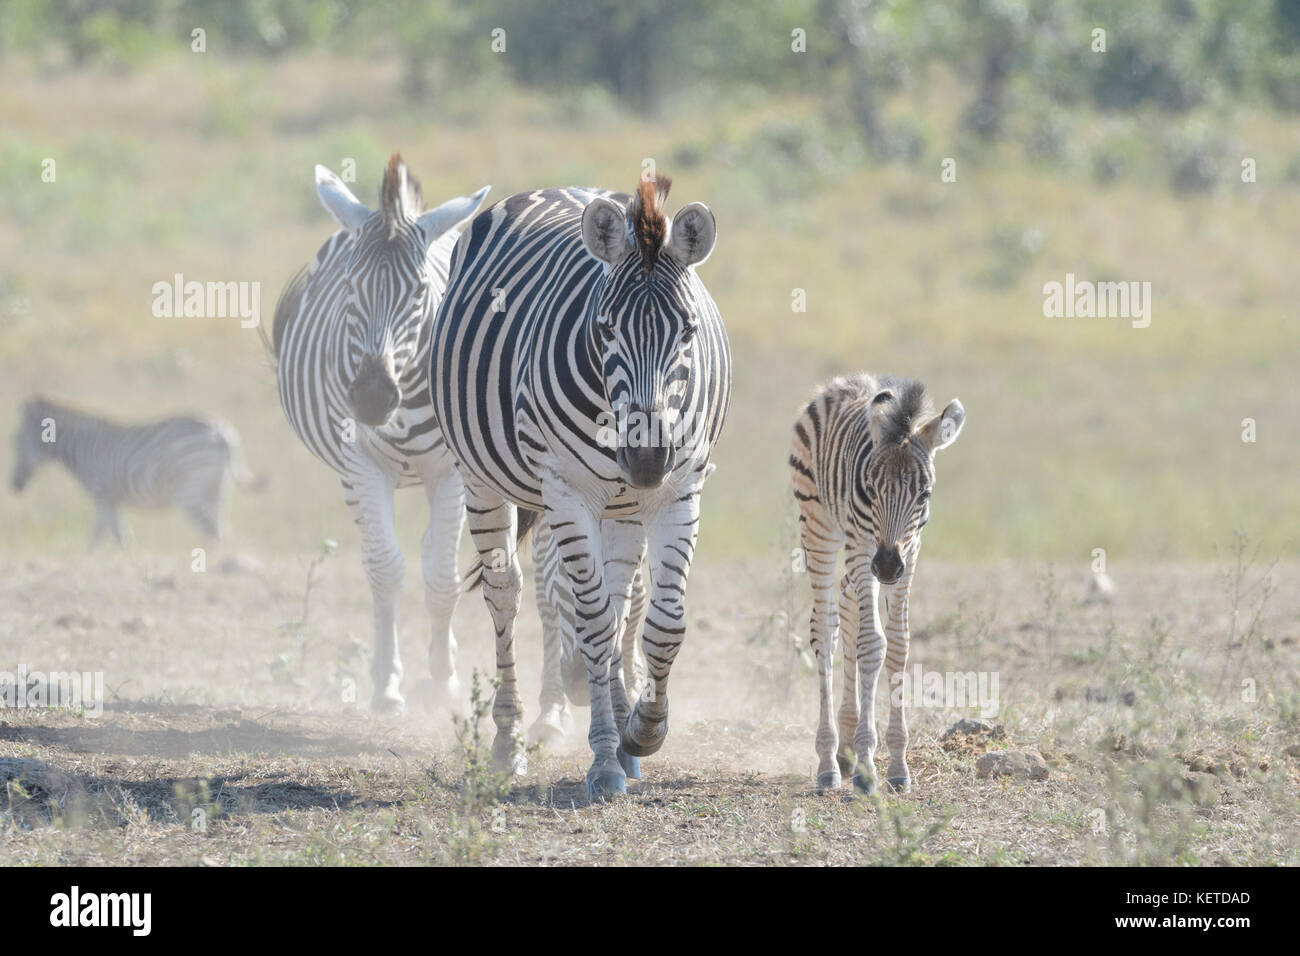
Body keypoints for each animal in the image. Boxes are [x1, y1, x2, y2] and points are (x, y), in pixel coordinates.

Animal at [9, 396, 260, 545]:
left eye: (14, 441)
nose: (14, 486)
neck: (81, 447)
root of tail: (222, 433)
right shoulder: (108, 501)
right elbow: (97, 539)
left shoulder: (103, 497)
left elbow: (119, 538)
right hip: (216, 491)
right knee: (222, 529)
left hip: (189, 492)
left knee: (212, 531)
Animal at [268, 153, 489, 715]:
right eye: (349, 286)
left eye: (420, 293)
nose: (370, 397)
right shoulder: (363, 466)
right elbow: (386, 570)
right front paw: (387, 685)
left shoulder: (452, 473)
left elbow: (442, 575)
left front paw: (444, 681)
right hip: (352, 480)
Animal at [430, 172, 730, 798]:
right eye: (606, 328)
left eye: (689, 331)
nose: (645, 457)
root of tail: (560, 187)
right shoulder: (567, 492)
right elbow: (591, 623)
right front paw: (605, 759)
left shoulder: (680, 489)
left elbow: (663, 624)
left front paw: (642, 730)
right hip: (481, 478)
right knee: (507, 593)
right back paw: (509, 742)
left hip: (622, 508)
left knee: (618, 601)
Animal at [789, 374, 965, 795]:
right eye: (870, 488)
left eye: (925, 493)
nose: (886, 565)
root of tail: (841, 384)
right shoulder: (864, 543)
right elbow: (872, 643)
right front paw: (868, 768)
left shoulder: (911, 551)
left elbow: (898, 645)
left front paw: (897, 765)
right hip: (820, 527)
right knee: (826, 631)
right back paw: (828, 762)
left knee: (849, 609)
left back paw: (846, 748)